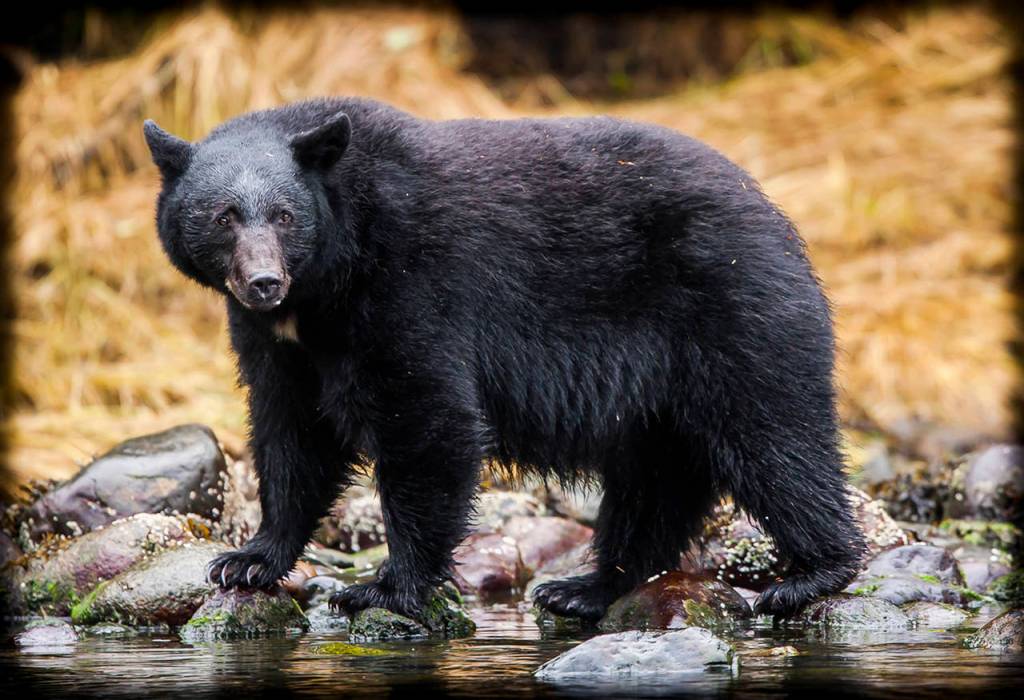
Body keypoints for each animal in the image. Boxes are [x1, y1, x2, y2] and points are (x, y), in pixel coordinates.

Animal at [143, 96, 866, 621]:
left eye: (285, 215)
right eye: (223, 215)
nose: (264, 282)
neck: (326, 285)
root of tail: (776, 217)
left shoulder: (411, 283)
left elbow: (428, 419)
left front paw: (386, 587)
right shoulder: (280, 341)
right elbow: (293, 432)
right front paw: (249, 559)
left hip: (732, 312)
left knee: (776, 440)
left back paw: (814, 573)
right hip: (665, 388)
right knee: (655, 479)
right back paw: (588, 587)